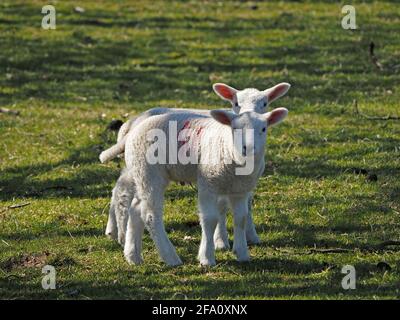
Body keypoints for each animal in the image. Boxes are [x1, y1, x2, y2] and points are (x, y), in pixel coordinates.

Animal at [103, 82, 290, 250]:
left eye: (264, 103)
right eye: (236, 103)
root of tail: (132, 122)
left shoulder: (246, 180)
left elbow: (247, 204)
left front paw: (250, 236)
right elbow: (221, 207)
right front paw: (220, 241)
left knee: (120, 187)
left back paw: (113, 231)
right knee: (123, 189)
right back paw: (120, 233)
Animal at [124, 106, 288, 266]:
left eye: (264, 129)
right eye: (235, 128)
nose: (248, 148)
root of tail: (134, 130)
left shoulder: (240, 189)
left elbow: (241, 218)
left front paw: (242, 253)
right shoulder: (208, 183)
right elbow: (210, 220)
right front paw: (207, 258)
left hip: (141, 174)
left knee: (135, 207)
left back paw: (133, 256)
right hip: (149, 171)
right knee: (151, 215)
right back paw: (171, 258)